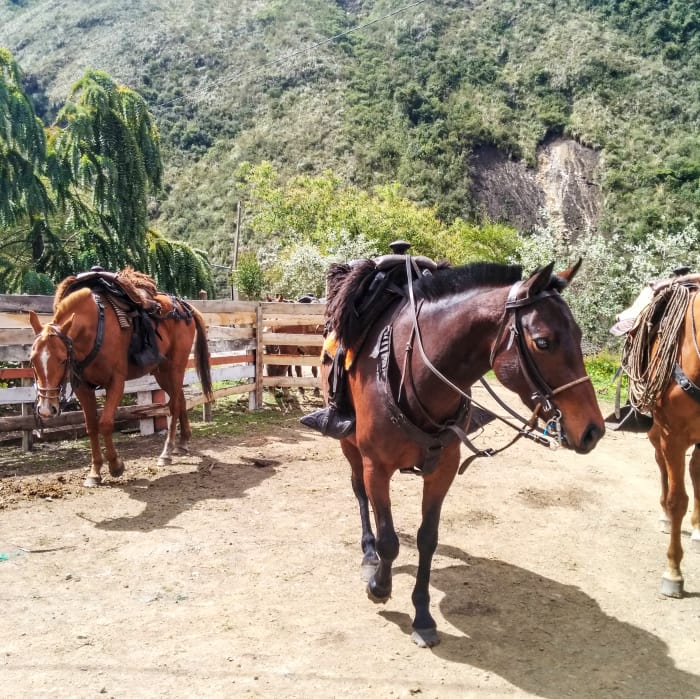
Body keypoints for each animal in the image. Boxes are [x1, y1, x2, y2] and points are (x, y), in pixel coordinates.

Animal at [29, 268, 213, 487]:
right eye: (32, 360)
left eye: (62, 359)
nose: (46, 409)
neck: (95, 327)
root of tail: (185, 307)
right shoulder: (83, 387)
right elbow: (92, 426)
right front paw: (94, 472)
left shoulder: (115, 382)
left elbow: (105, 423)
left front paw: (115, 465)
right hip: (161, 372)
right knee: (180, 399)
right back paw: (183, 442)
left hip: (175, 366)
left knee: (175, 405)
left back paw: (166, 452)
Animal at [321, 258, 605, 647]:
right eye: (543, 342)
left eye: (577, 335)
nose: (593, 430)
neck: (415, 373)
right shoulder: (376, 466)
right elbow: (389, 540)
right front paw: (379, 585)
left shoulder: (444, 469)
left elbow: (427, 540)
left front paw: (423, 616)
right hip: (349, 445)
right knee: (359, 493)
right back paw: (368, 554)